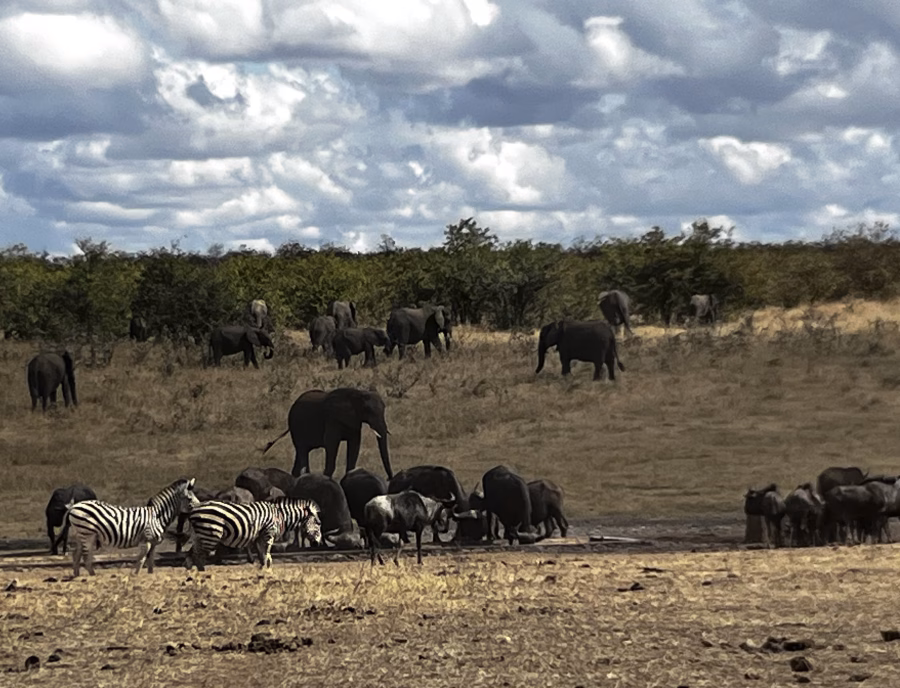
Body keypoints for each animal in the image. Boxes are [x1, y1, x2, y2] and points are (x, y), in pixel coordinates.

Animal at [66, 478, 197, 576]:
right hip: (87, 534)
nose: (200, 507)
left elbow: (151, 562)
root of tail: (74, 506)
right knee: (85, 556)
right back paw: (93, 576)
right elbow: (141, 559)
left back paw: (76, 575)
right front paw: (134, 574)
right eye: (190, 499)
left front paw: (149, 575)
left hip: (81, 534)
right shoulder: (146, 540)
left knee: (76, 554)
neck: (157, 516)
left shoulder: (153, 543)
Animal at [185, 498, 322, 571]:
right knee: (199, 556)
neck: (280, 516)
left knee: (192, 554)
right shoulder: (268, 534)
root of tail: (194, 509)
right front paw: (266, 571)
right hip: (211, 534)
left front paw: (262, 570)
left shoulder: (258, 537)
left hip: (199, 535)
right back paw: (203, 574)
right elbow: (267, 554)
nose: (317, 544)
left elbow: (262, 555)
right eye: (318, 523)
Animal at [263, 388, 393, 480]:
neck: (357, 393)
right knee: (302, 450)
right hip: (295, 426)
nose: (389, 479)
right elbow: (331, 443)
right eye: (368, 410)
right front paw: (327, 478)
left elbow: (354, 444)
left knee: (301, 452)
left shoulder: (354, 422)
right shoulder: (332, 419)